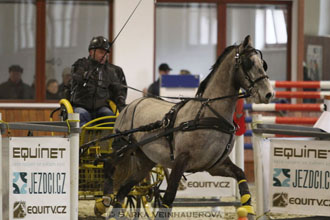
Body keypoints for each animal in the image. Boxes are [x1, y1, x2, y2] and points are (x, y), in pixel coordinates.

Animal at [98, 35, 274, 219]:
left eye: (263, 64)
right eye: (249, 63)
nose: (268, 93)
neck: (209, 114)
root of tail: (128, 106)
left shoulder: (215, 165)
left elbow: (241, 176)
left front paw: (249, 210)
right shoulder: (180, 161)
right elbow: (168, 198)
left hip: (145, 161)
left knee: (123, 190)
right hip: (123, 148)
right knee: (109, 165)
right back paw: (103, 202)